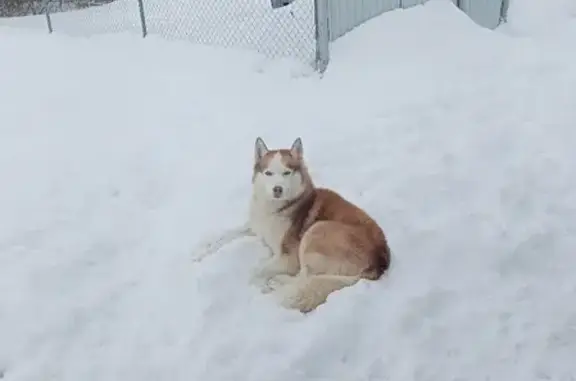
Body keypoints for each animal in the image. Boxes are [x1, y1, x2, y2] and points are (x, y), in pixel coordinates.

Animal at [195, 137, 392, 312]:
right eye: (268, 173)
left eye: (286, 172)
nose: (277, 189)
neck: (278, 208)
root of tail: (380, 262)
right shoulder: (255, 226)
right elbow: (226, 235)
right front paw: (201, 251)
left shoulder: (288, 258)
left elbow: (255, 271)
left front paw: (262, 285)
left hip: (316, 231)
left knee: (304, 279)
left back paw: (278, 284)